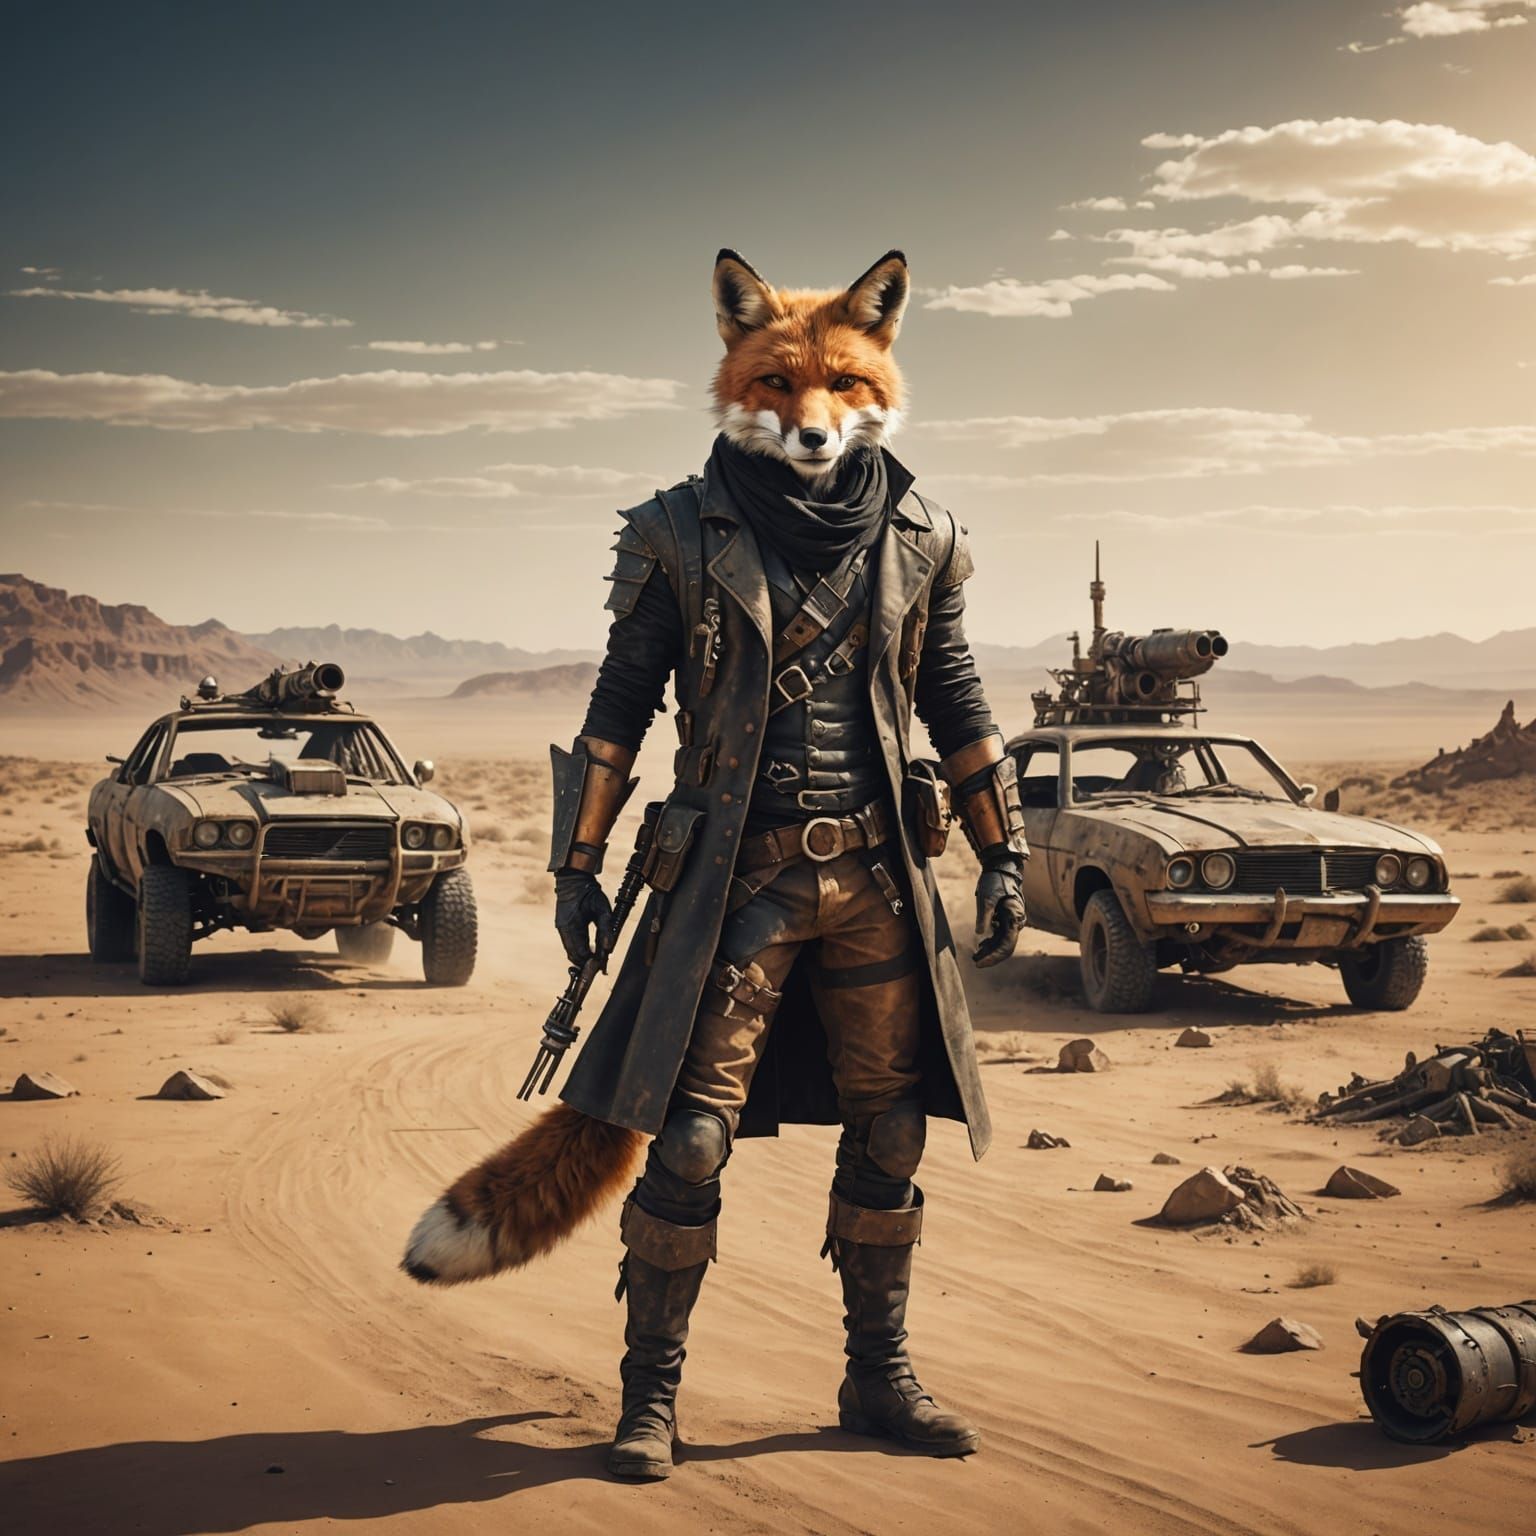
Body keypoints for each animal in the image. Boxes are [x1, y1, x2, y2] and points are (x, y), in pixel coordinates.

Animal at [401, 248, 913, 1287]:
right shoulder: (645, 569)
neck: (811, 517)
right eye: (774, 381)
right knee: (692, 1142)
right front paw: (580, 906)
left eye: (846, 382)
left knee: (886, 1130)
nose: (812, 437)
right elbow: (613, 719)